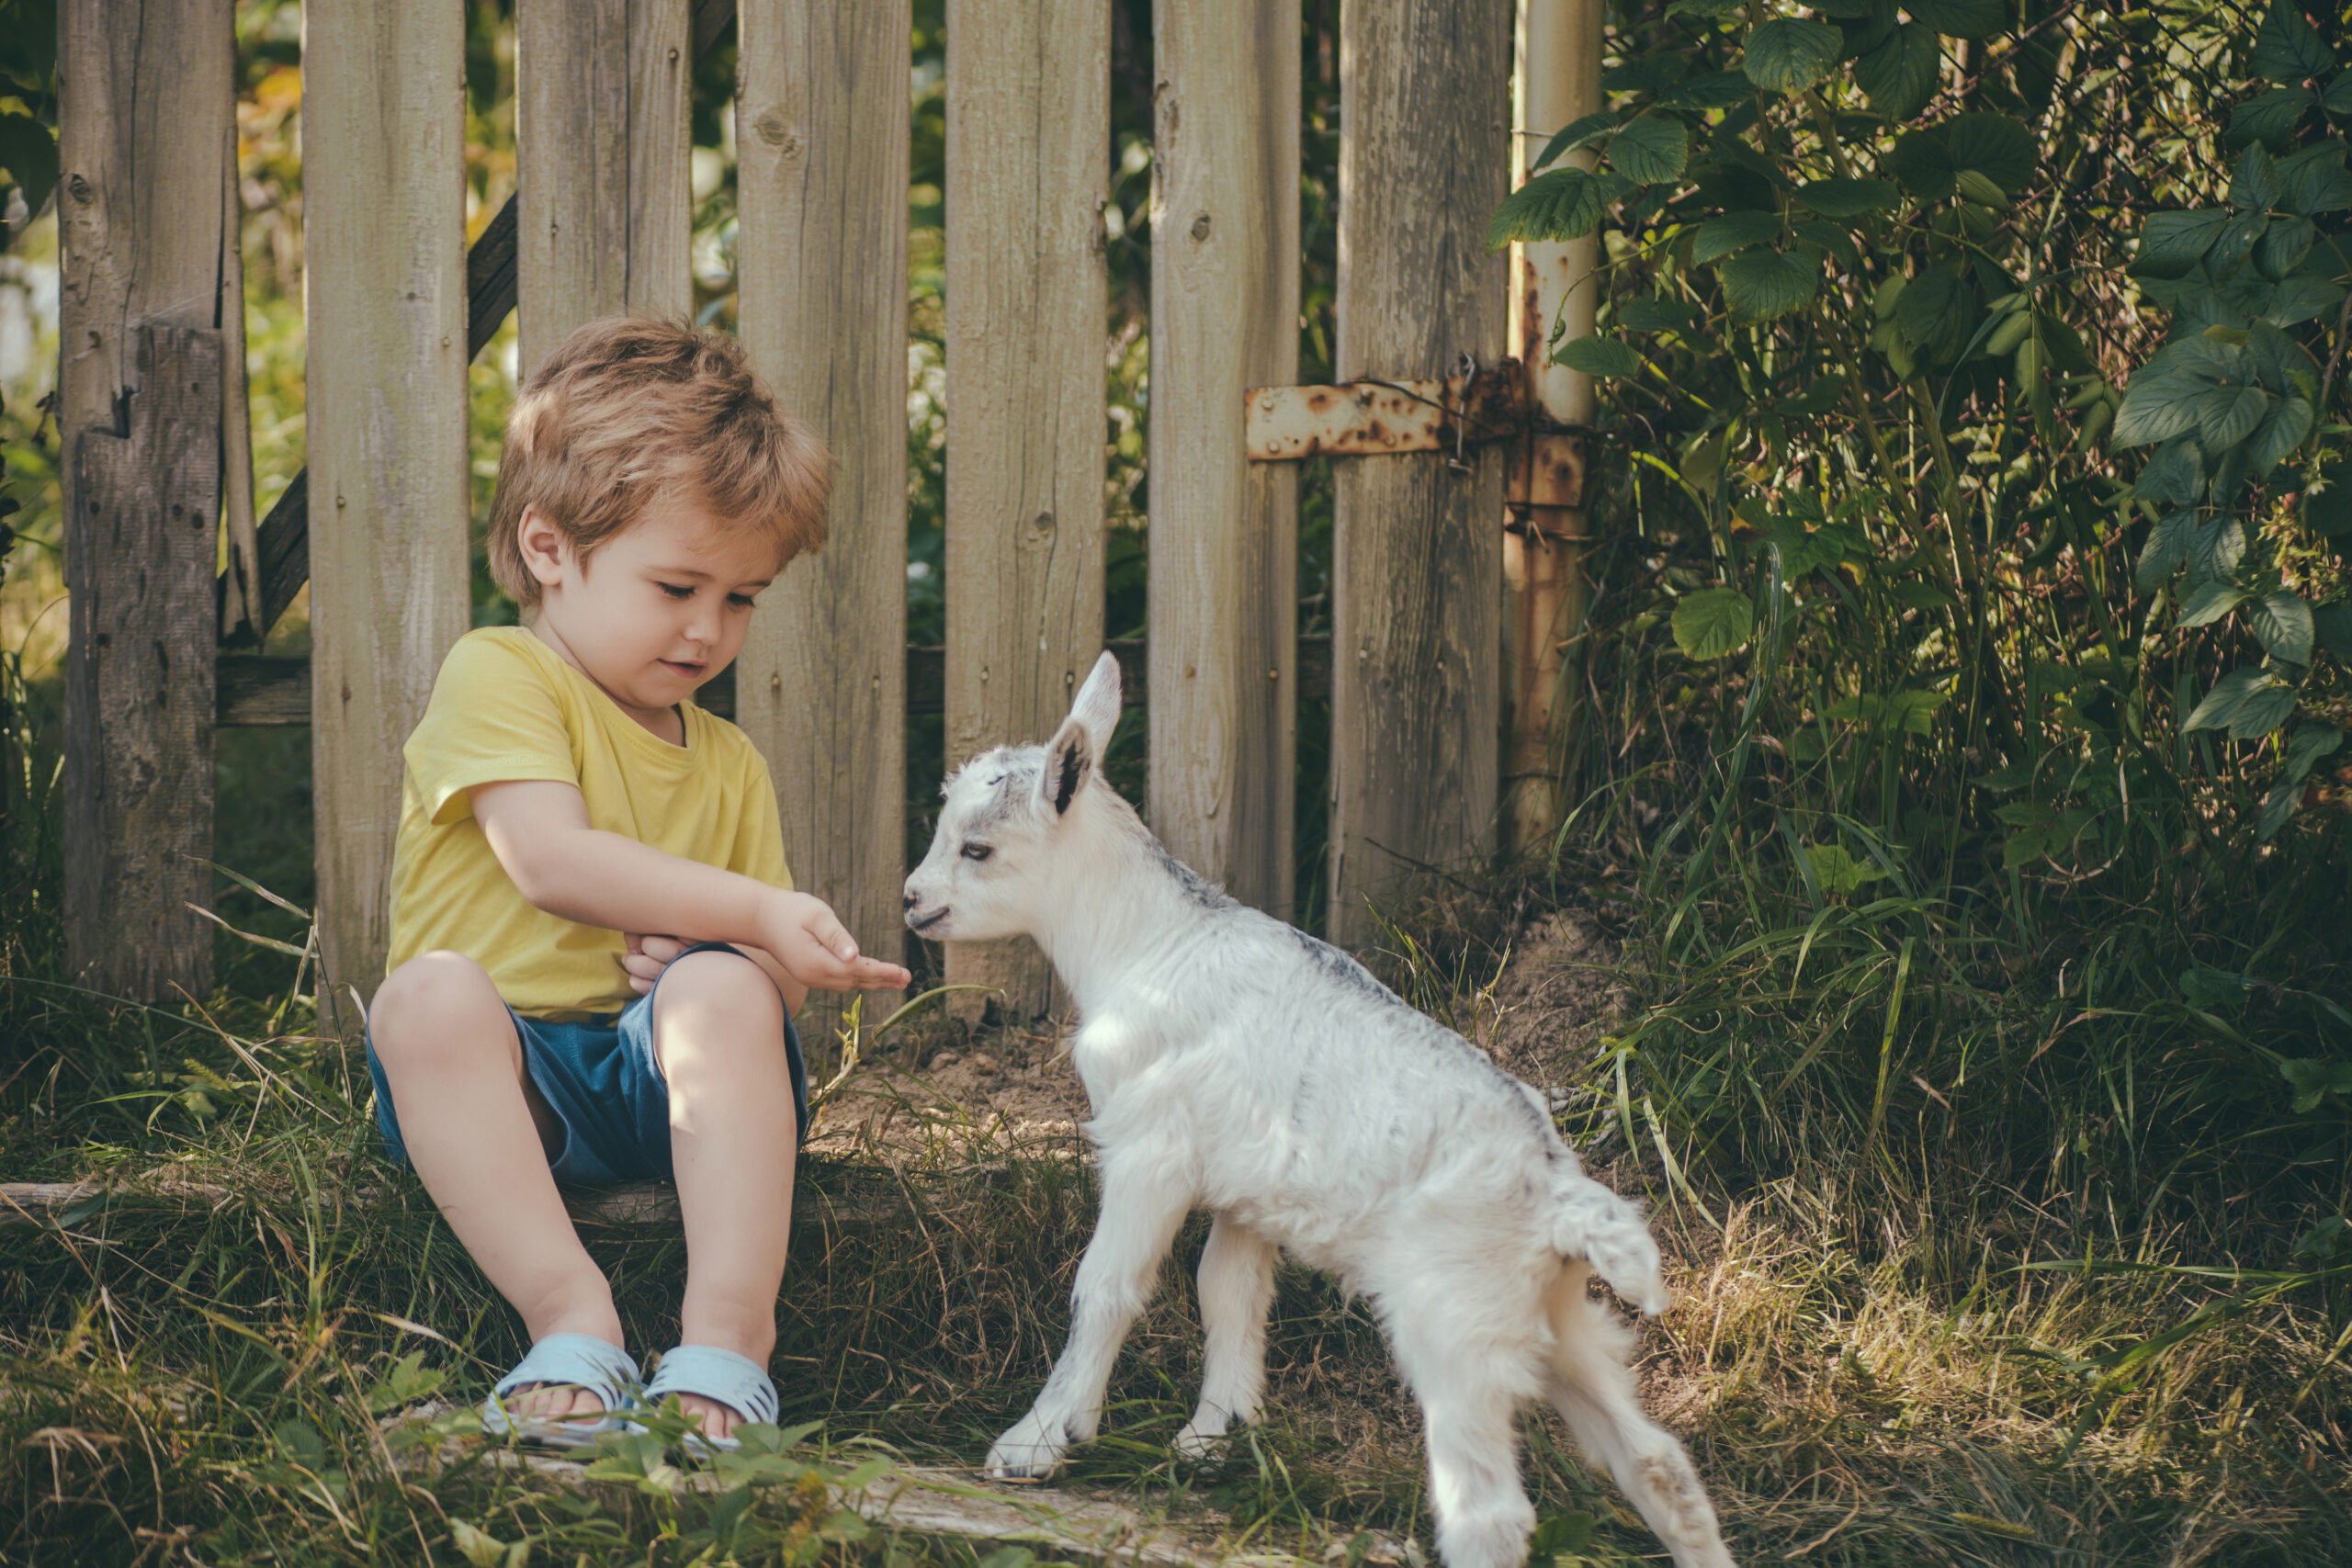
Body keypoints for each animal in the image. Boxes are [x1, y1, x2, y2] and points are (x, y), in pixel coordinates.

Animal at [898, 649, 1731, 1568]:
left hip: (1455, 1327)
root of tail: (1557, 1195)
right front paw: (1214, 1436)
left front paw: (1038, 1442)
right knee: (1658, 1462)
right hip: (1556, 1320)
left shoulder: (1150, 1147)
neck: (1146, 943)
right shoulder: (1246, 1187)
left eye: (978, 847)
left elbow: (1108, 1284)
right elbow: (1227, 1290)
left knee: (1489, 1512)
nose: (911, 899)